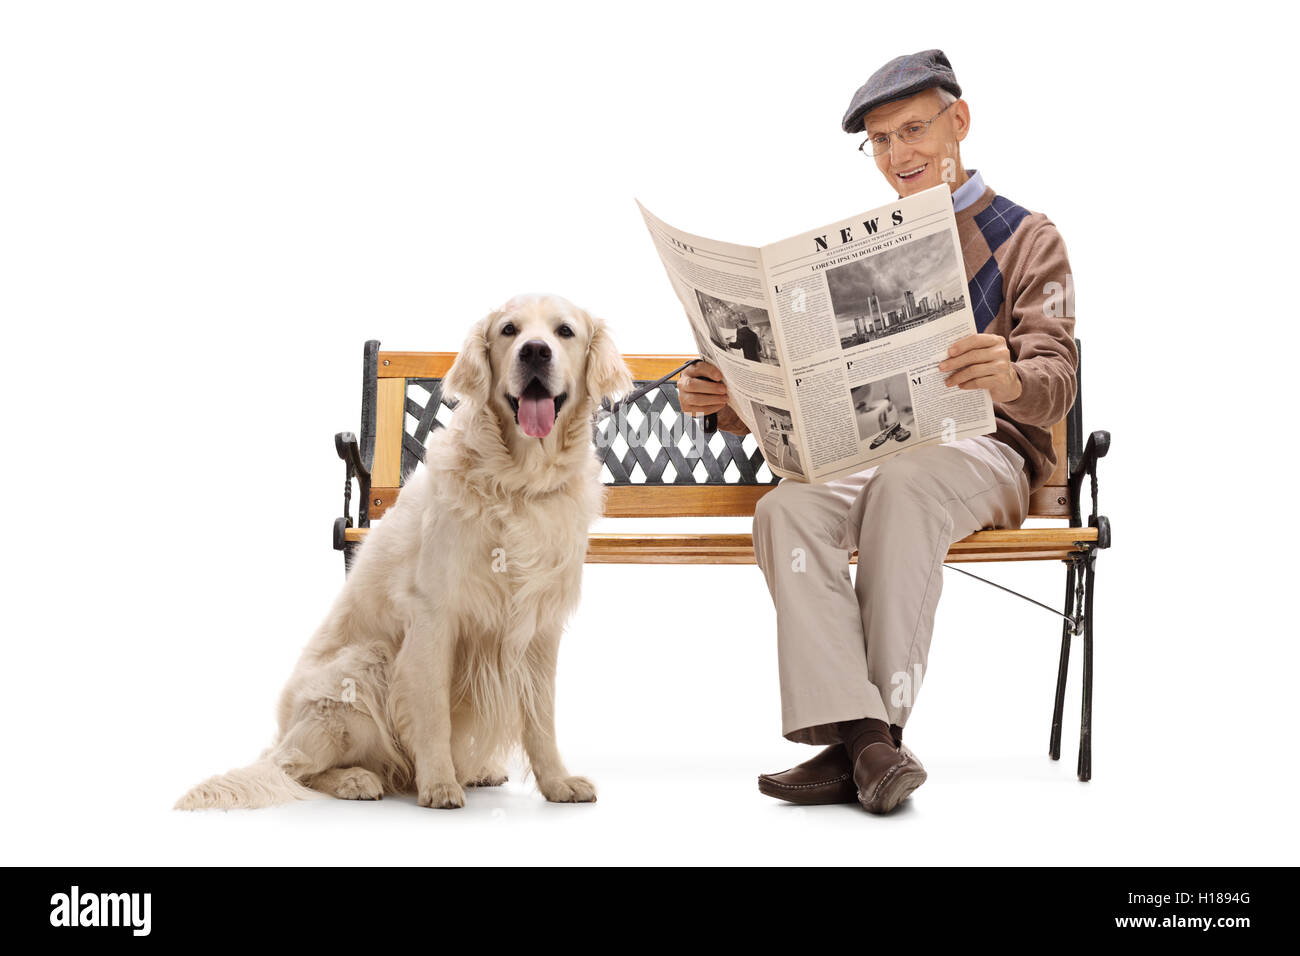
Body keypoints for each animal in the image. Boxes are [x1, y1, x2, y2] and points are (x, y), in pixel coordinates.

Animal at [178, 295, 634, 811]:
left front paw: (557, 783)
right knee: (293, 768)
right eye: (509, 330)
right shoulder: (434, 616)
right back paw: (358, 779)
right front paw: (438, 784)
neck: (518, 481)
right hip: (363, 665)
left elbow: (542, 718)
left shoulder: (539, 625)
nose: (535, 351)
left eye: (564, 331)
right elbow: (432, 711)